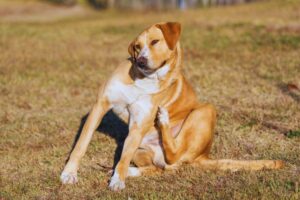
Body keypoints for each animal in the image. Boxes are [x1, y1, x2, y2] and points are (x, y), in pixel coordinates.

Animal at [60, 21, 284, 191]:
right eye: (137, 47)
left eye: (155, 41)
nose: (141, 61)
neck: (144, 79)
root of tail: (203, 156)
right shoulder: (101, 105)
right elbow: (81, 144)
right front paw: (69, 173)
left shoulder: (139, 124)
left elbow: (122, 159)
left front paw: (118, 180)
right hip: (140, 149)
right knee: (160, 168)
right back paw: (132, 170)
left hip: (205, 110)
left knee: (173, 155)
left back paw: (163, 122)